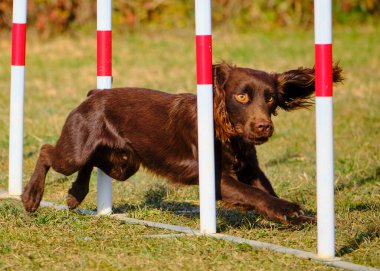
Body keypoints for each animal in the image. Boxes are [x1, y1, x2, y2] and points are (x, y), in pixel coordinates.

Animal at [21, 62, 344, 224]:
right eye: (241, 96)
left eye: (271, 99)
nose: (264, 126)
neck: (228, 133)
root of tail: (93, 94)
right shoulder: (215, 177)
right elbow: (255, 195)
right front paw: (287, 209)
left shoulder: (250, 168)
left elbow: (264, 189)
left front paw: (304, 216)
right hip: (77, 150)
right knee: (48, 151)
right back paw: (31, 196)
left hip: (125, 163)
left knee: (92, 161)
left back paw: (75, 194)